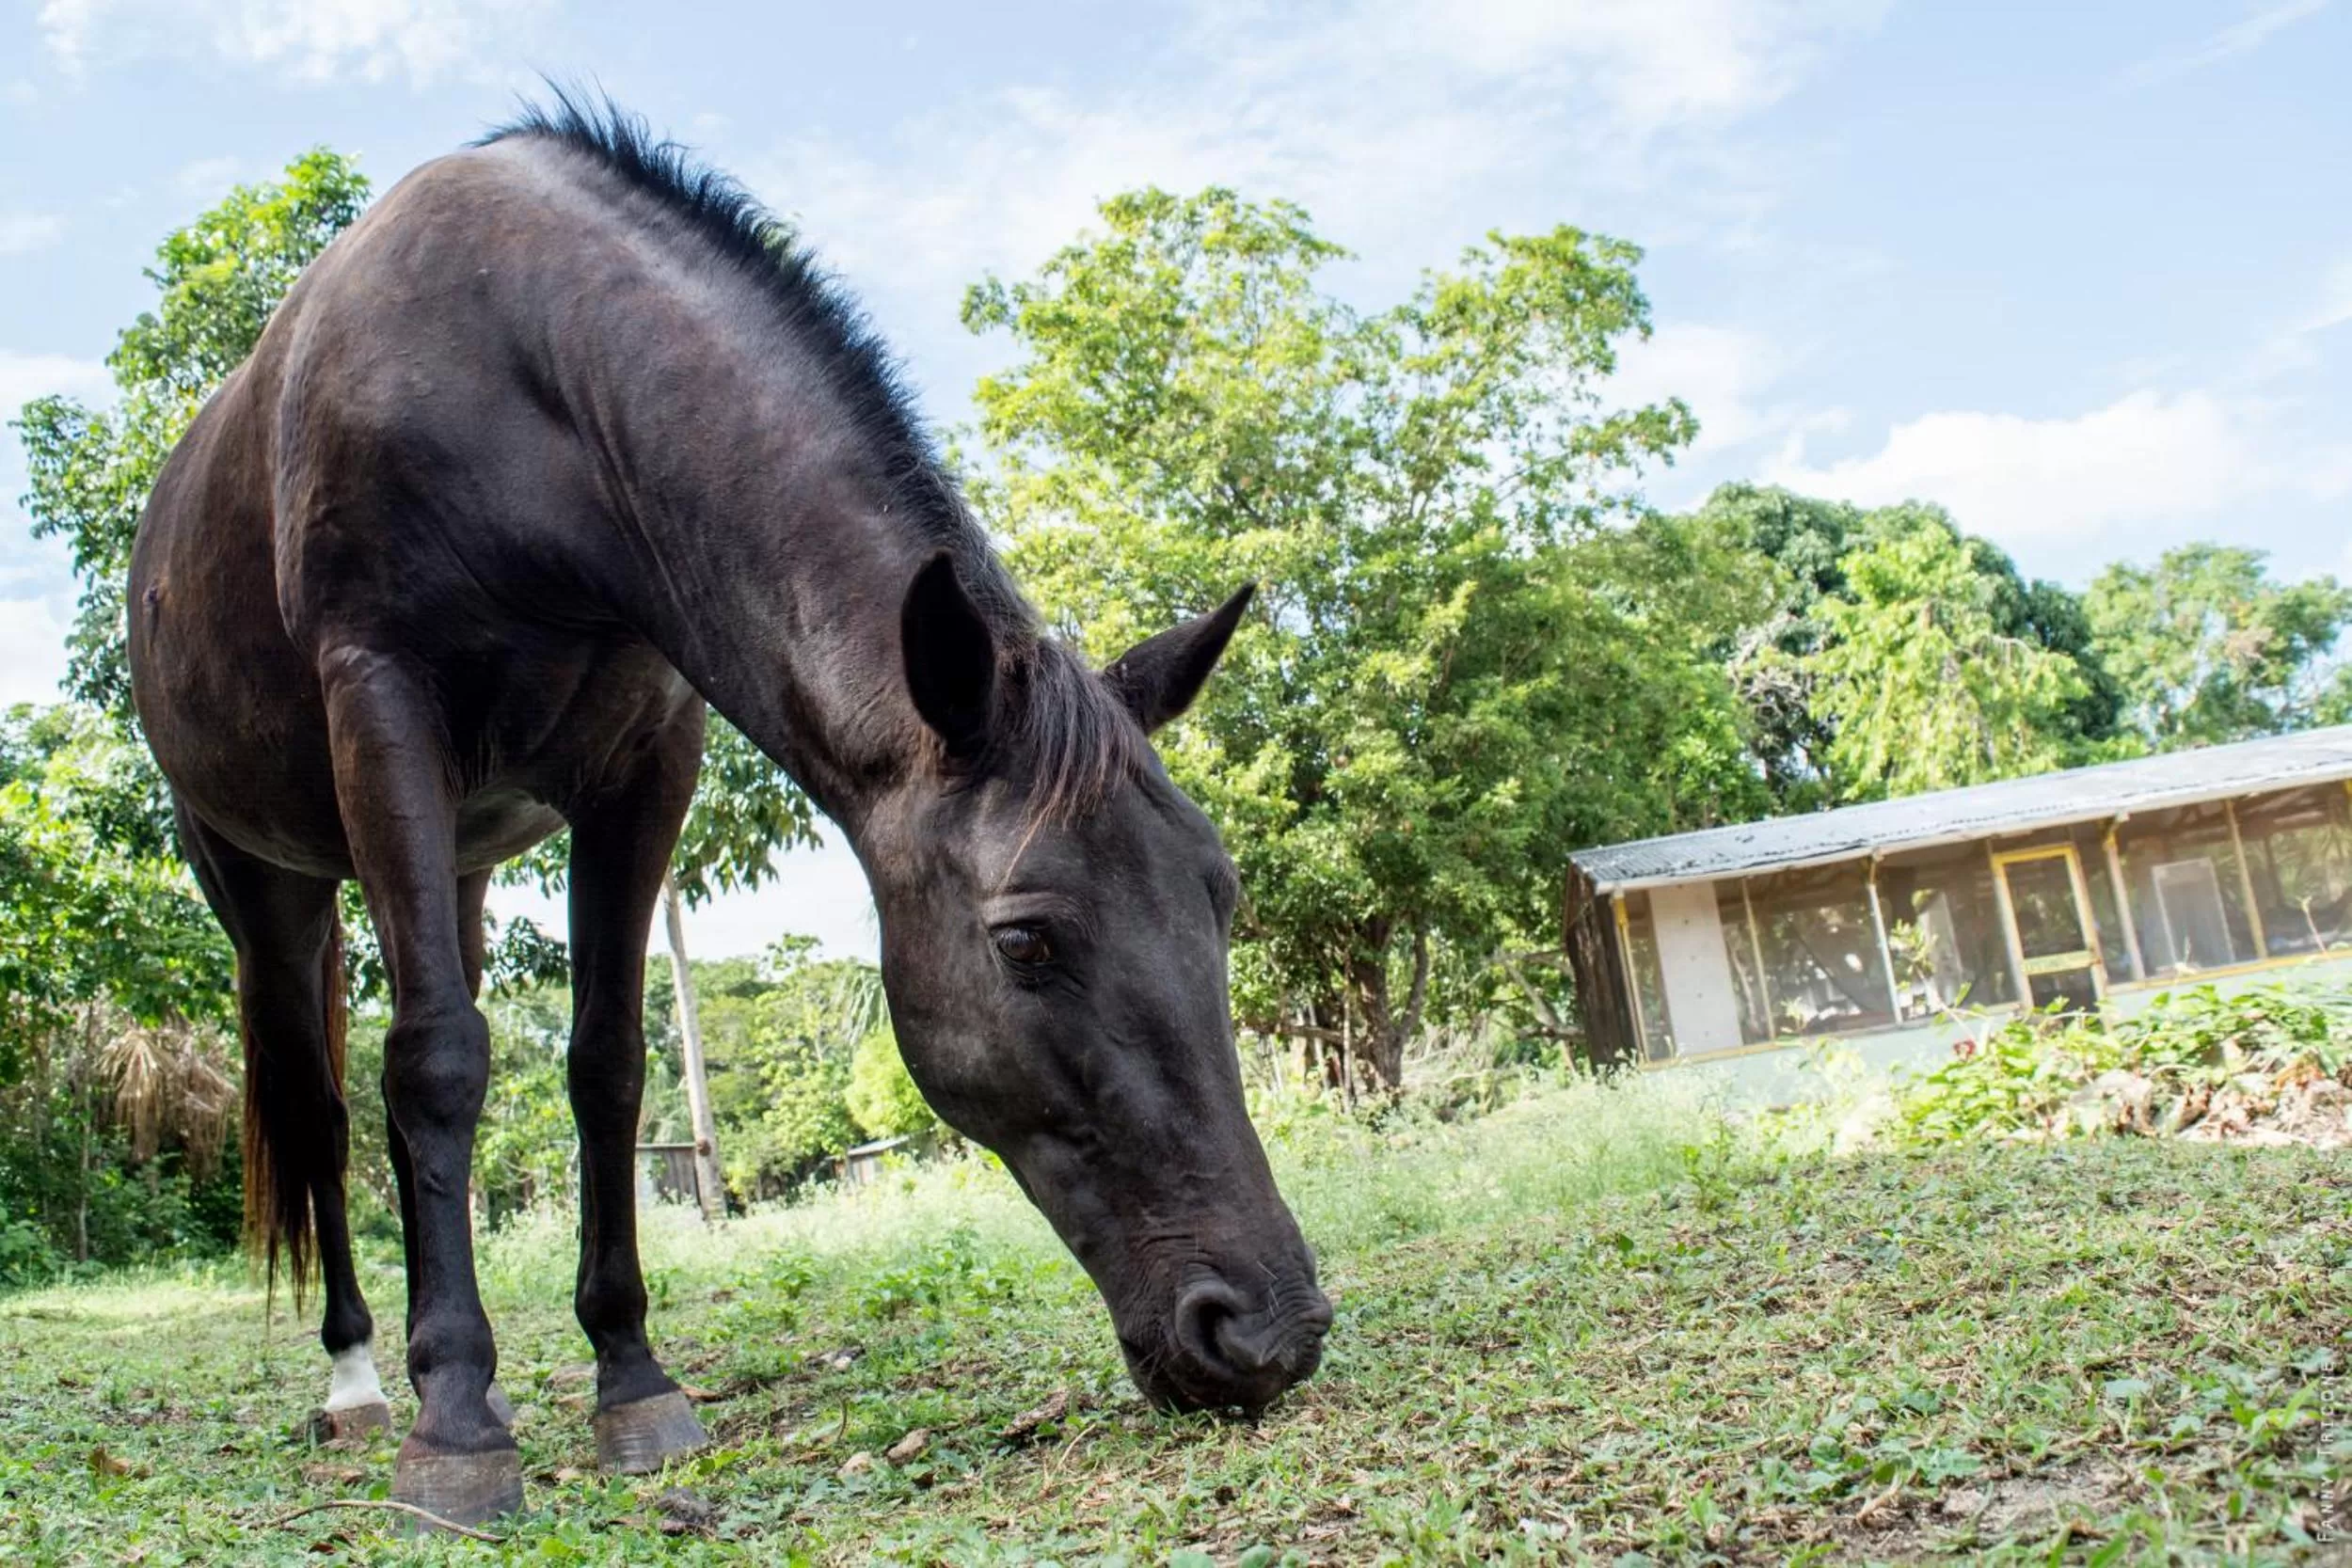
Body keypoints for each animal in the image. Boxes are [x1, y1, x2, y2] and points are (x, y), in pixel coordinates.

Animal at [126, 95, 1330, 1526]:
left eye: (1220, 896)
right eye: (1026, 938)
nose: (1267, 1328)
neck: (528, 377)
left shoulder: (648, 762)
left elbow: (603, 1066)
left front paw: (628, 1380)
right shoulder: (385, 701)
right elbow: (435, 1061)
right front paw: (458, 1426)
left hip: (452, 866)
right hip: (267, 882)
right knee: (328, 1104)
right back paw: (367, 1380)